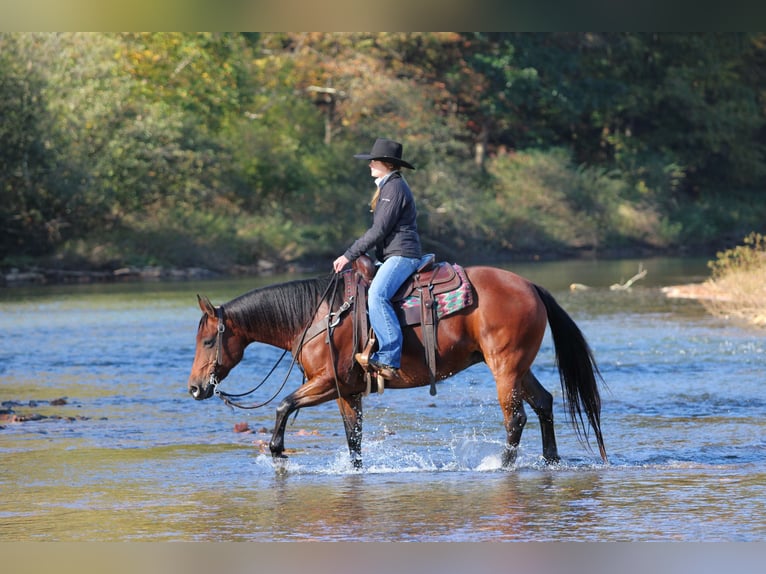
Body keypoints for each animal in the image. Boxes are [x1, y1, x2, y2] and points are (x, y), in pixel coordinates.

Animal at [187, 264, 608, 469]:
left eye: (207, 341)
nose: (195, 388)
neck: (317, 317)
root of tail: (531, 286)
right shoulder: (347, 391)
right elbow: (353, 438)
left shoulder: (327, 382)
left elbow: (283, 405)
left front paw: (276, 450)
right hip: (519, 367)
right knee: (544, 403)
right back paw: (550, 460)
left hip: (504, 367)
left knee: (515, 418)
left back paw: (500, 465)